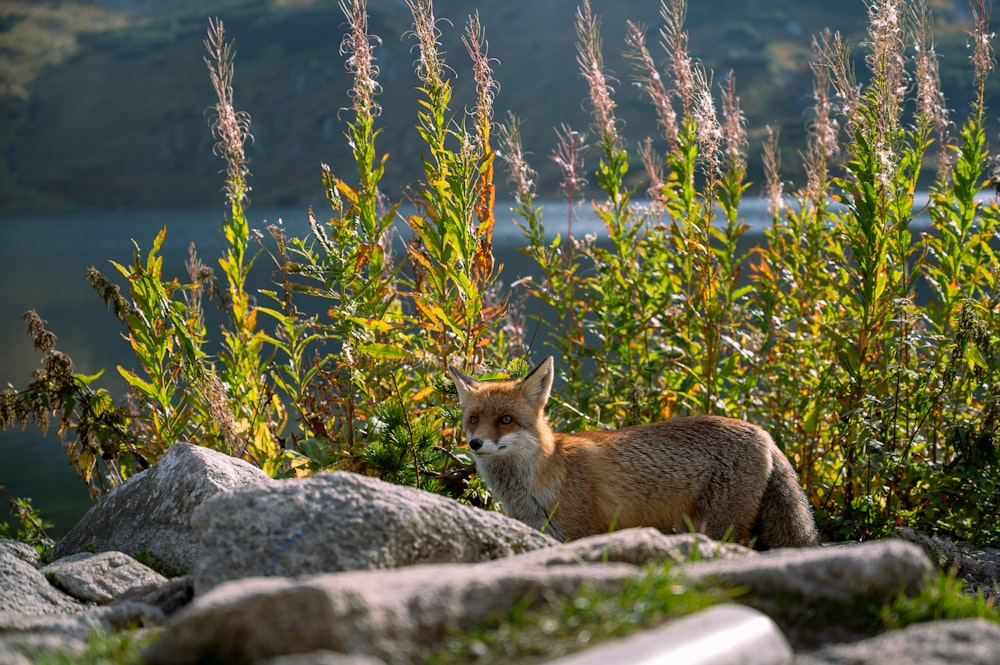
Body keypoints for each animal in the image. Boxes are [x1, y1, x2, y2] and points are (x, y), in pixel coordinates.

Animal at [450, 356, 816, 548]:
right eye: (474, 419)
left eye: (505, 420)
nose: (476, 444)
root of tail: (765, 434)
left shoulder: (580, 532)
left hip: (720, 528)